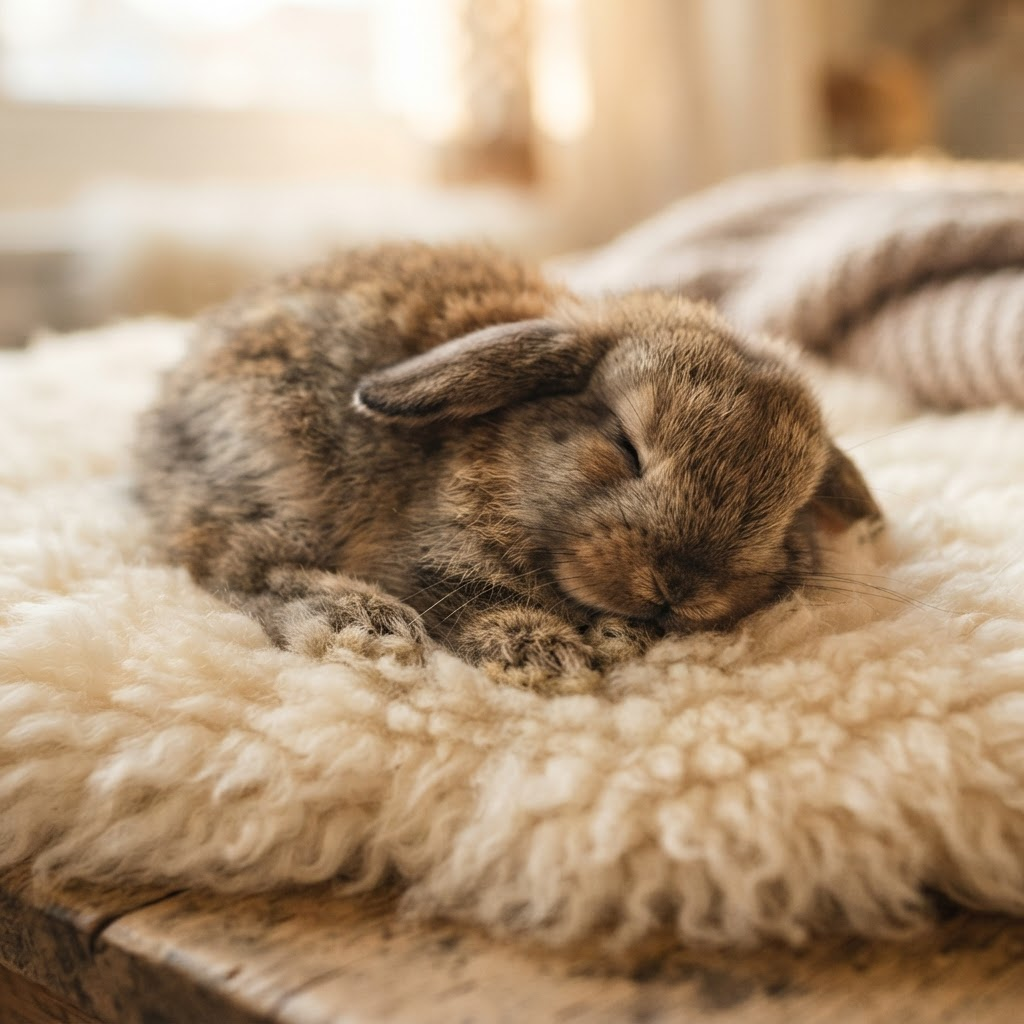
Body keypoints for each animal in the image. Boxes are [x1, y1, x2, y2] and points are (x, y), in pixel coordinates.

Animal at [135, 241, 882, 686]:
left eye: (790, 512)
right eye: (624, 444)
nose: (679, 587)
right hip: (278, 470)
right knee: (230, 562)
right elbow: (471, 598)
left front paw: (610, 639)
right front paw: (550, 659)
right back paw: (360, 623)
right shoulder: (427, 558)